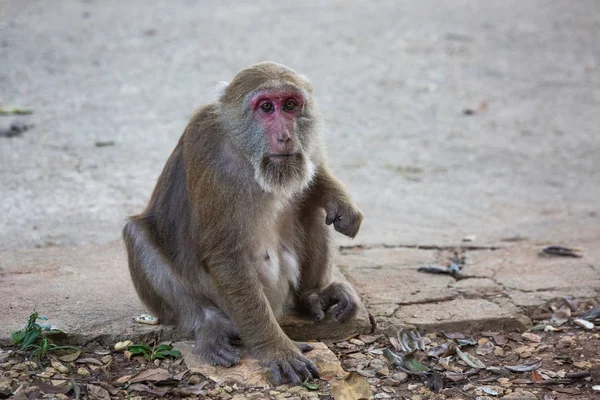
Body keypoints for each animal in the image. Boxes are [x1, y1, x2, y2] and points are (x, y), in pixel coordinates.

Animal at [123, 61, 360, 384]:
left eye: (290, 105)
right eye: (266, 107)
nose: (286, 136)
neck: (245, 151)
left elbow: (313, 175)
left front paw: (341, 201)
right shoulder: (204, 140)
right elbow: (225, 253)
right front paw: (276, 349)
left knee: (310, 206)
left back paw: (312, 296)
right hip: (221, 302)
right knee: (136, 234)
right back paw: (209, 325)